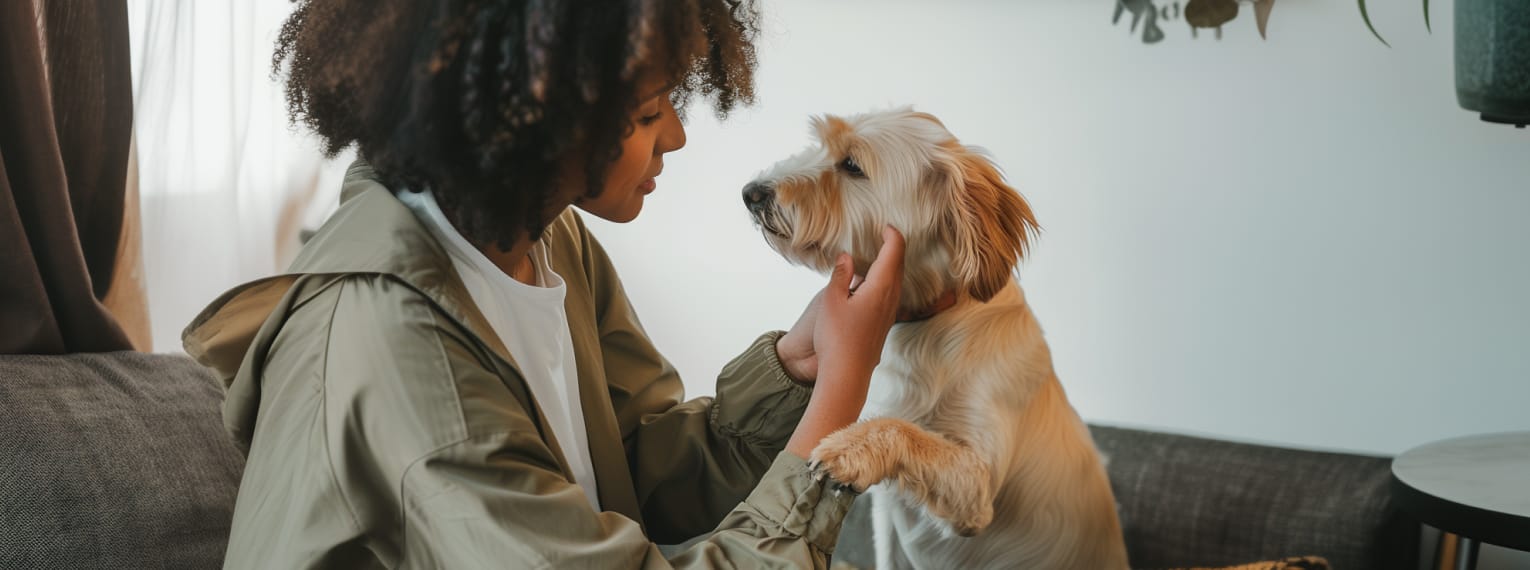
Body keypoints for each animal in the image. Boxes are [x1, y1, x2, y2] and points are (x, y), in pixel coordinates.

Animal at [746, 107, 1132, 568]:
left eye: (852, 165)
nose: (750, 192)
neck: (928, 325)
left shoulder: (978, 488)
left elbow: (899, 428)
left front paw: (848, 446)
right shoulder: (887, 515)